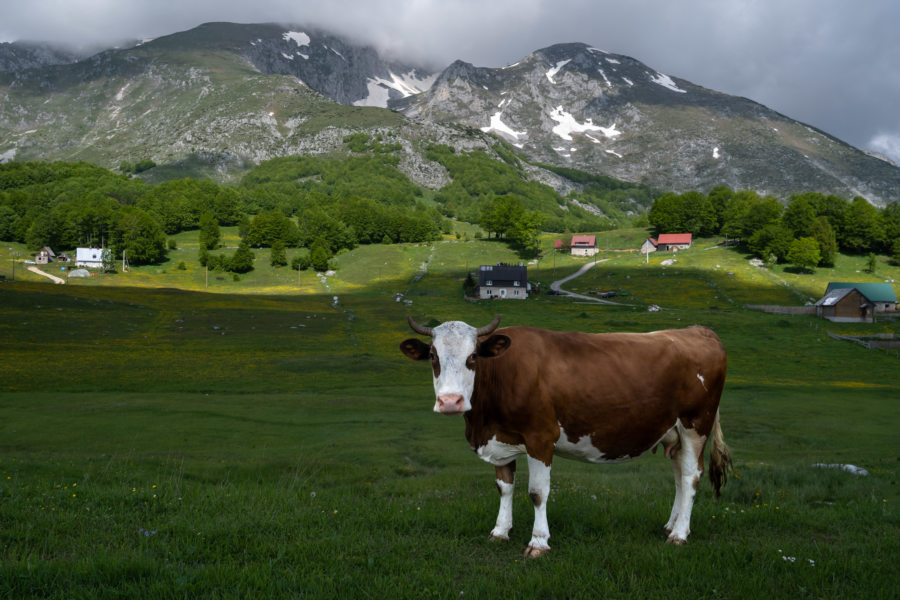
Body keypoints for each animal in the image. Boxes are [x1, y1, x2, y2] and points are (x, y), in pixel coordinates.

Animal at [400, 314, 732, 556]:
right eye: (433, 356)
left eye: (473, 357)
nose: (450, 401)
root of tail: (699, 331)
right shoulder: (501, 439)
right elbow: (504, 488)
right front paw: (500, 532)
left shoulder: (540, 437)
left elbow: (537, 492)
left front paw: (538, 542)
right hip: (673, 432)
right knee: (678, 476)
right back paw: (671, 525)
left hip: (695, 425)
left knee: (691, 476)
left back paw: (679, 535)